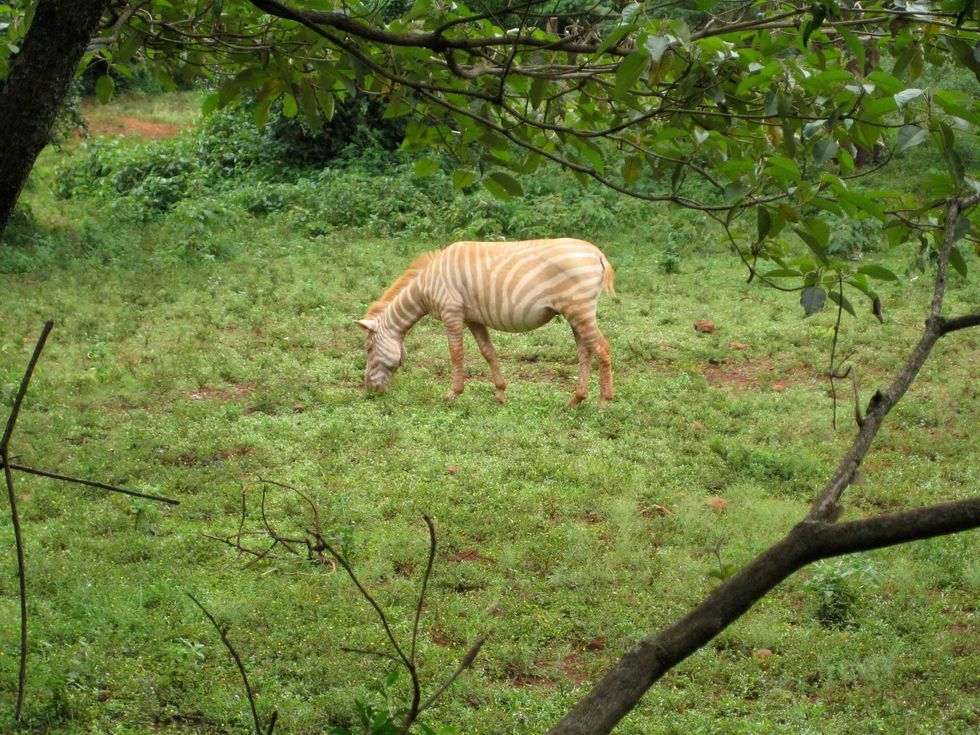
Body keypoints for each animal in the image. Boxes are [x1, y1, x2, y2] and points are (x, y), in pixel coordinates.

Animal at [356, 238, 615, 405]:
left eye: (368, 348)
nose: (370, 391)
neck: (427, 284)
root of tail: (597, 253)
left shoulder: (451, 314)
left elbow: (456, 354)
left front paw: (452, 394)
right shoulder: (474, 319)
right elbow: (488, 352)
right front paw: (500, 393)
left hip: (580, 311)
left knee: (602, 348)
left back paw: (603, 402)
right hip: (575, 315)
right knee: (585, 352)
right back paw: (576, 400)